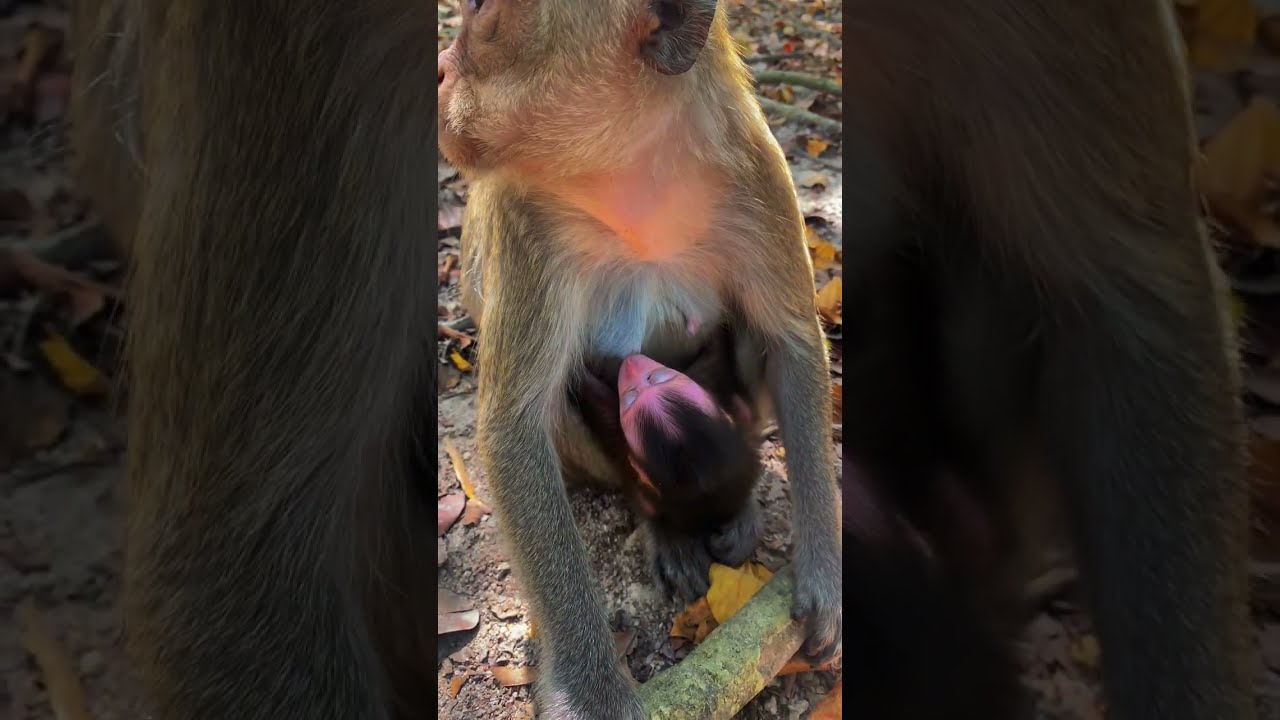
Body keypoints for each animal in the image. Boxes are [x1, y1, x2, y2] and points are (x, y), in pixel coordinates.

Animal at [440, 1, 842, 716]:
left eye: (482, 13)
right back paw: (663, 524)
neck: (631, 169)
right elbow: (515, 427)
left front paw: (822, 571)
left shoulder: (758, 173)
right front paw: (591, 688)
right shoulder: (522, 215)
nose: (440, 68)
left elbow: (792, 341)